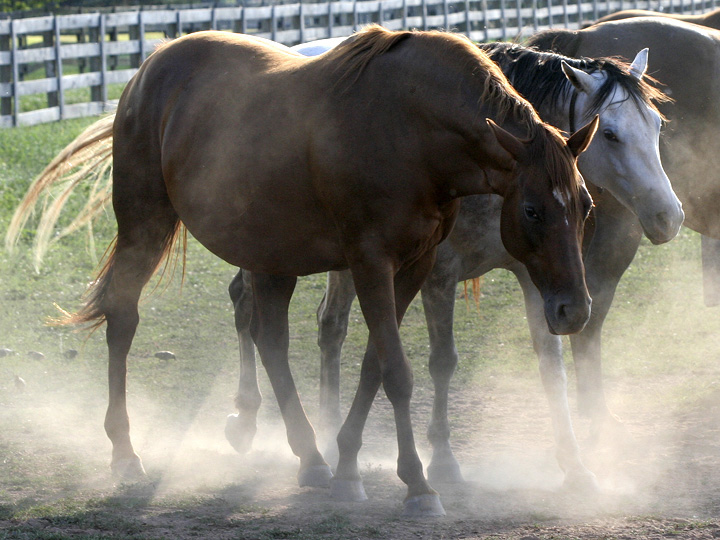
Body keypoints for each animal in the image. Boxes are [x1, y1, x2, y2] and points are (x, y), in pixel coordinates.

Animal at [9, 26, 596, 520]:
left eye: (586, 204)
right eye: (532, 210)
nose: (574, 311)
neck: (412, 127)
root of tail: (149, 68)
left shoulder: (413, 265)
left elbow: (374, 368)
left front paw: (348, 467)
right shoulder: (370, 262)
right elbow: (398, 374)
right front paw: (418, 485)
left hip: (272, 256)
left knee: (268, 338)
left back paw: (310, 457)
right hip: (145, 226)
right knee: (124, 320)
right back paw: (126, 452)